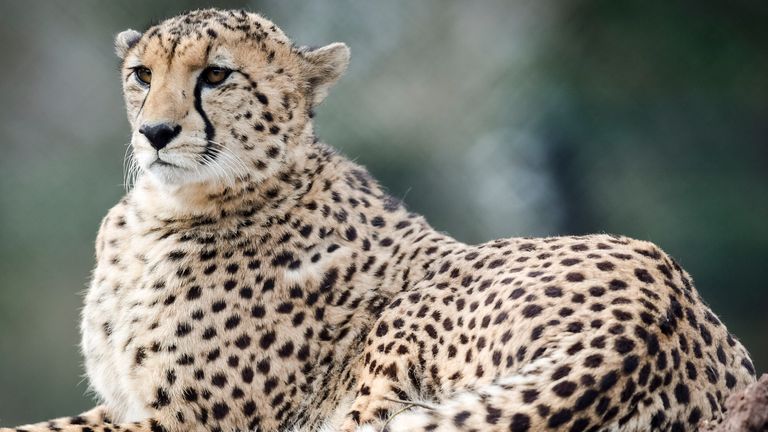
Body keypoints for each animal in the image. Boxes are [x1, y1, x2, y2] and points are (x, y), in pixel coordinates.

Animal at [2, 8, 756, 432]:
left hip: (399, 335)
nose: (155, 133)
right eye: (140, 74)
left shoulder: (188, 422)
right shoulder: (125, 406)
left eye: (215, 76)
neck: (168, 208)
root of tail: (658, 312)